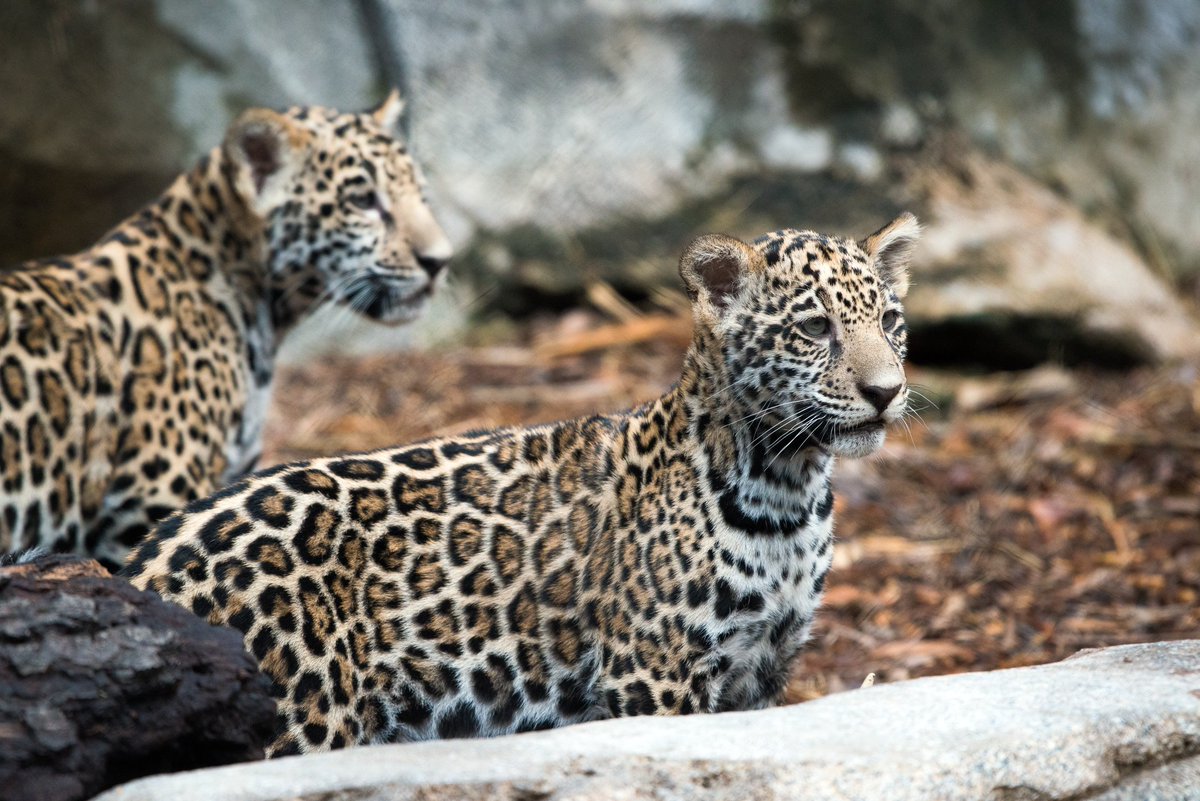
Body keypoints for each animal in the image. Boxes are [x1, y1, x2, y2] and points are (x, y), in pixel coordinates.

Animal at [125, 213, 920, 755]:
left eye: (890, 320)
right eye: (814, 328)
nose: (887, 391)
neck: (787, 490)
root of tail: (146, 573)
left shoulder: (762, 674)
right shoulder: (656, 679)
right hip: (304, 716)